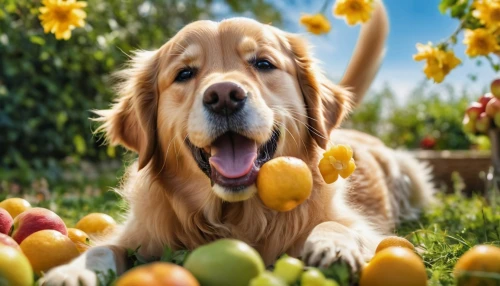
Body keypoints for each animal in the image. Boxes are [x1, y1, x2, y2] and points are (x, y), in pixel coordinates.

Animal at [42, 1, 434, 284]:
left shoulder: (364, 227)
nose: (224, 96)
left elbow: (340, 225)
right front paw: (72, 271)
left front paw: (333, 244)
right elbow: (103, 247)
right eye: (185, 73)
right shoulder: (137, 232)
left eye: (263, 63)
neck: (236, 218)